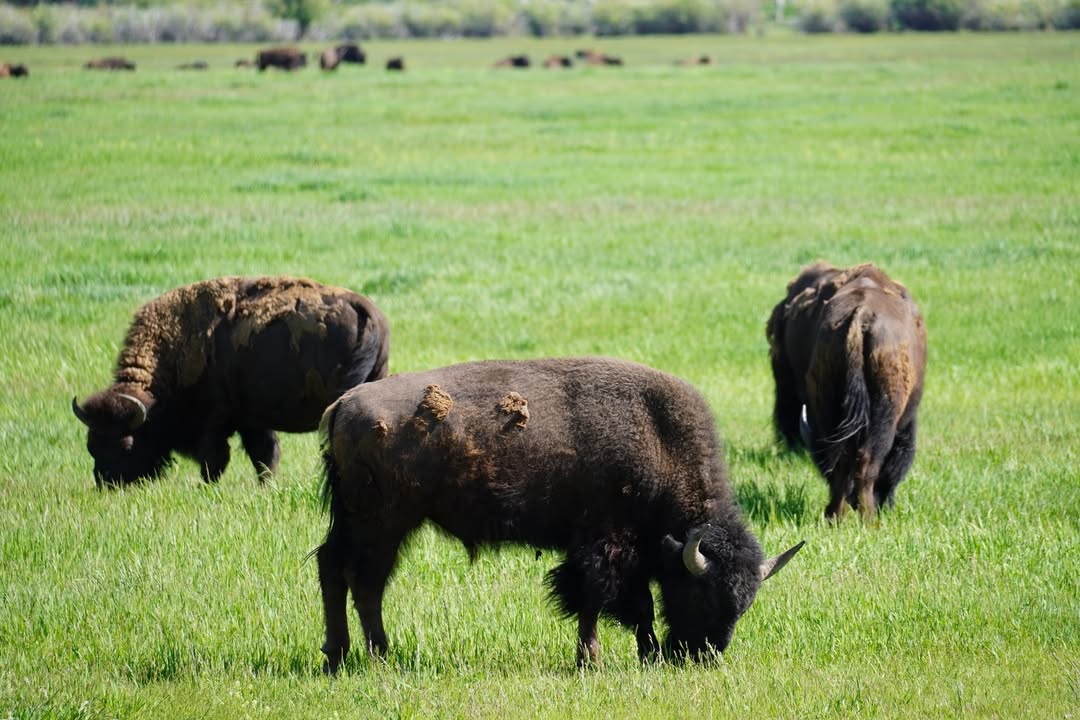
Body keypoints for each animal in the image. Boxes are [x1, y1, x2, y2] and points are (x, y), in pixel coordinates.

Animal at [72, 276, 389, 487]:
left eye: (126, 445)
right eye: (91, 444)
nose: (106, 483)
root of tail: (363, 308)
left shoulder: (214, 423)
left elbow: (216, 459)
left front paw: (206, 487)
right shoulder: (252, 420)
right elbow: (265, 455)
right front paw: (265, 487)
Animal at [316, 357, 802, 671]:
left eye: (744, 605)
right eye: (703, 595)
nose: (702, 656)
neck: (658, 439)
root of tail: (343, 403)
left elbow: (627, 603)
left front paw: (635, 655)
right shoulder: (605, 547)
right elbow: (604, 600)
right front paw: (595, 660)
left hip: (369, 524)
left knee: (341, 572)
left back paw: (345, 657)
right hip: (380, 524)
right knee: (360, 581)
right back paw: (373, 657)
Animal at [766, 262, 927, 519]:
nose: (887, 505)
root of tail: (861, 315)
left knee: (839, 461)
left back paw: (835, 514)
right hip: (882, 416)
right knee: (866, 460)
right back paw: (868, 517)